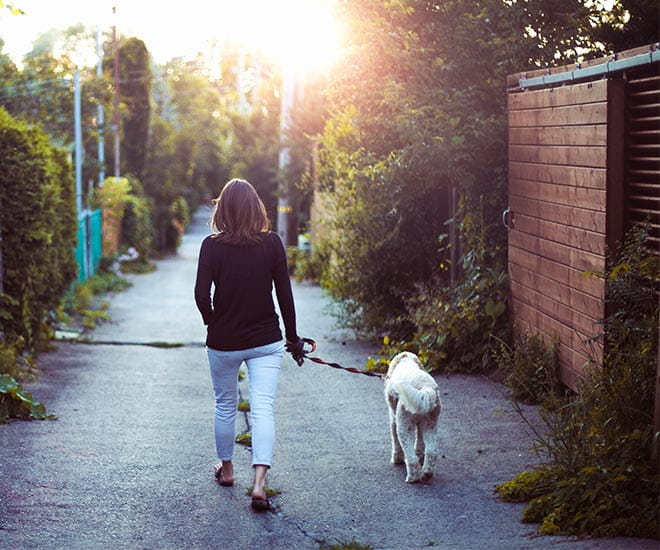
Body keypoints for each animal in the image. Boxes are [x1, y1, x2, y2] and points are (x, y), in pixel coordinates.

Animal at [384, 354, 440, 484]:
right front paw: (420, 454)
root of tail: (425, 388)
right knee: (431, 451)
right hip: (431, 424)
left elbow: (395, 441)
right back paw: (427, 473)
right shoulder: (420, 424)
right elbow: (420, 441)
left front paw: (396, 458)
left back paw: (412, 478)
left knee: (411, 457)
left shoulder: (394, 420)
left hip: (404, 425)